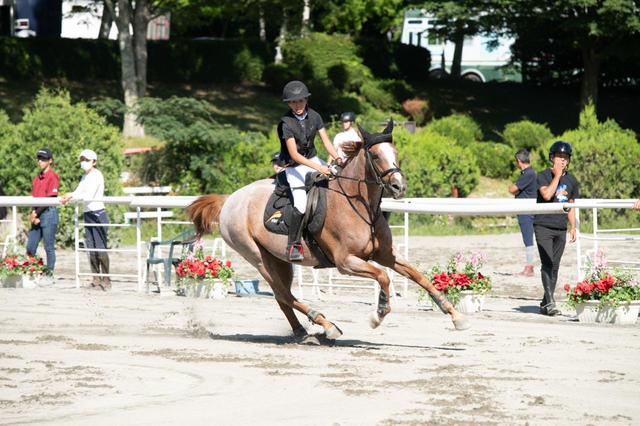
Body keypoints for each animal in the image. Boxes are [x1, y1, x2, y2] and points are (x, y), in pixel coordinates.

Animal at [187, 120, 470, 342]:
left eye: (395, 152)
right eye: (376, 156)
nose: (399, 187)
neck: (360, 205)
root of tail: (229, 200)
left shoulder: (387, 255)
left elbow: (420, 277)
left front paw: (455, 316)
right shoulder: (346, 262)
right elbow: (383, 277)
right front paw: (378, 314)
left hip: (279, 260)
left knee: (282, 296)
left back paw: (303, 332)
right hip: (256, 256)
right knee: (283, 293)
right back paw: (326, 325)